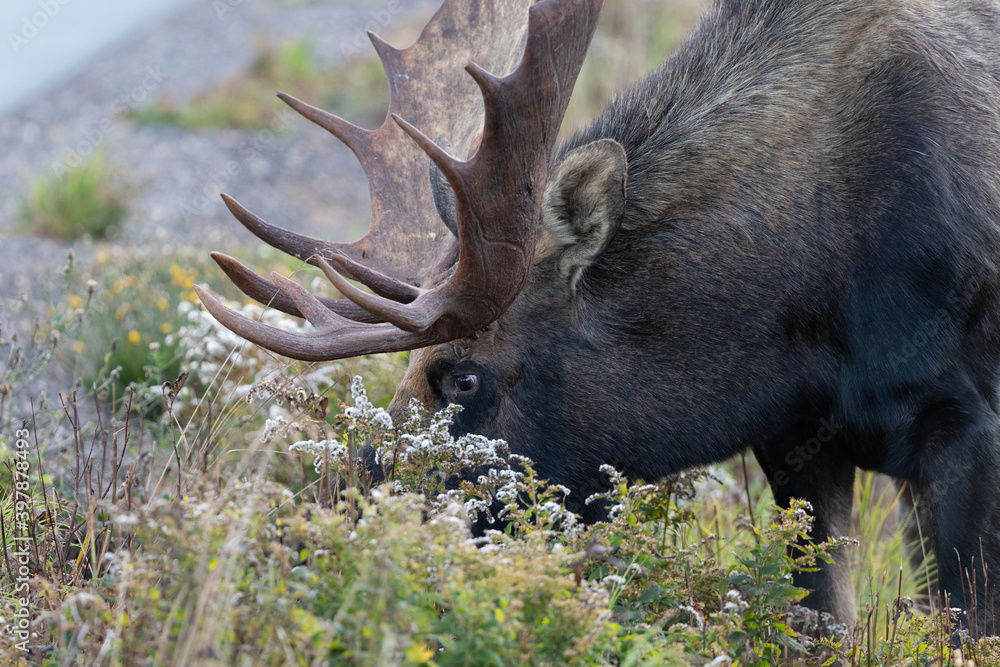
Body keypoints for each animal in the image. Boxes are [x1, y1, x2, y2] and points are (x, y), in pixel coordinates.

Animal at [193, 0, 1000, 636]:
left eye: (463, 378)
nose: (329, 528)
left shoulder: (967, 428)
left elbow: (963, 623)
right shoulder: (797, 440)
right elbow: (827, 620)